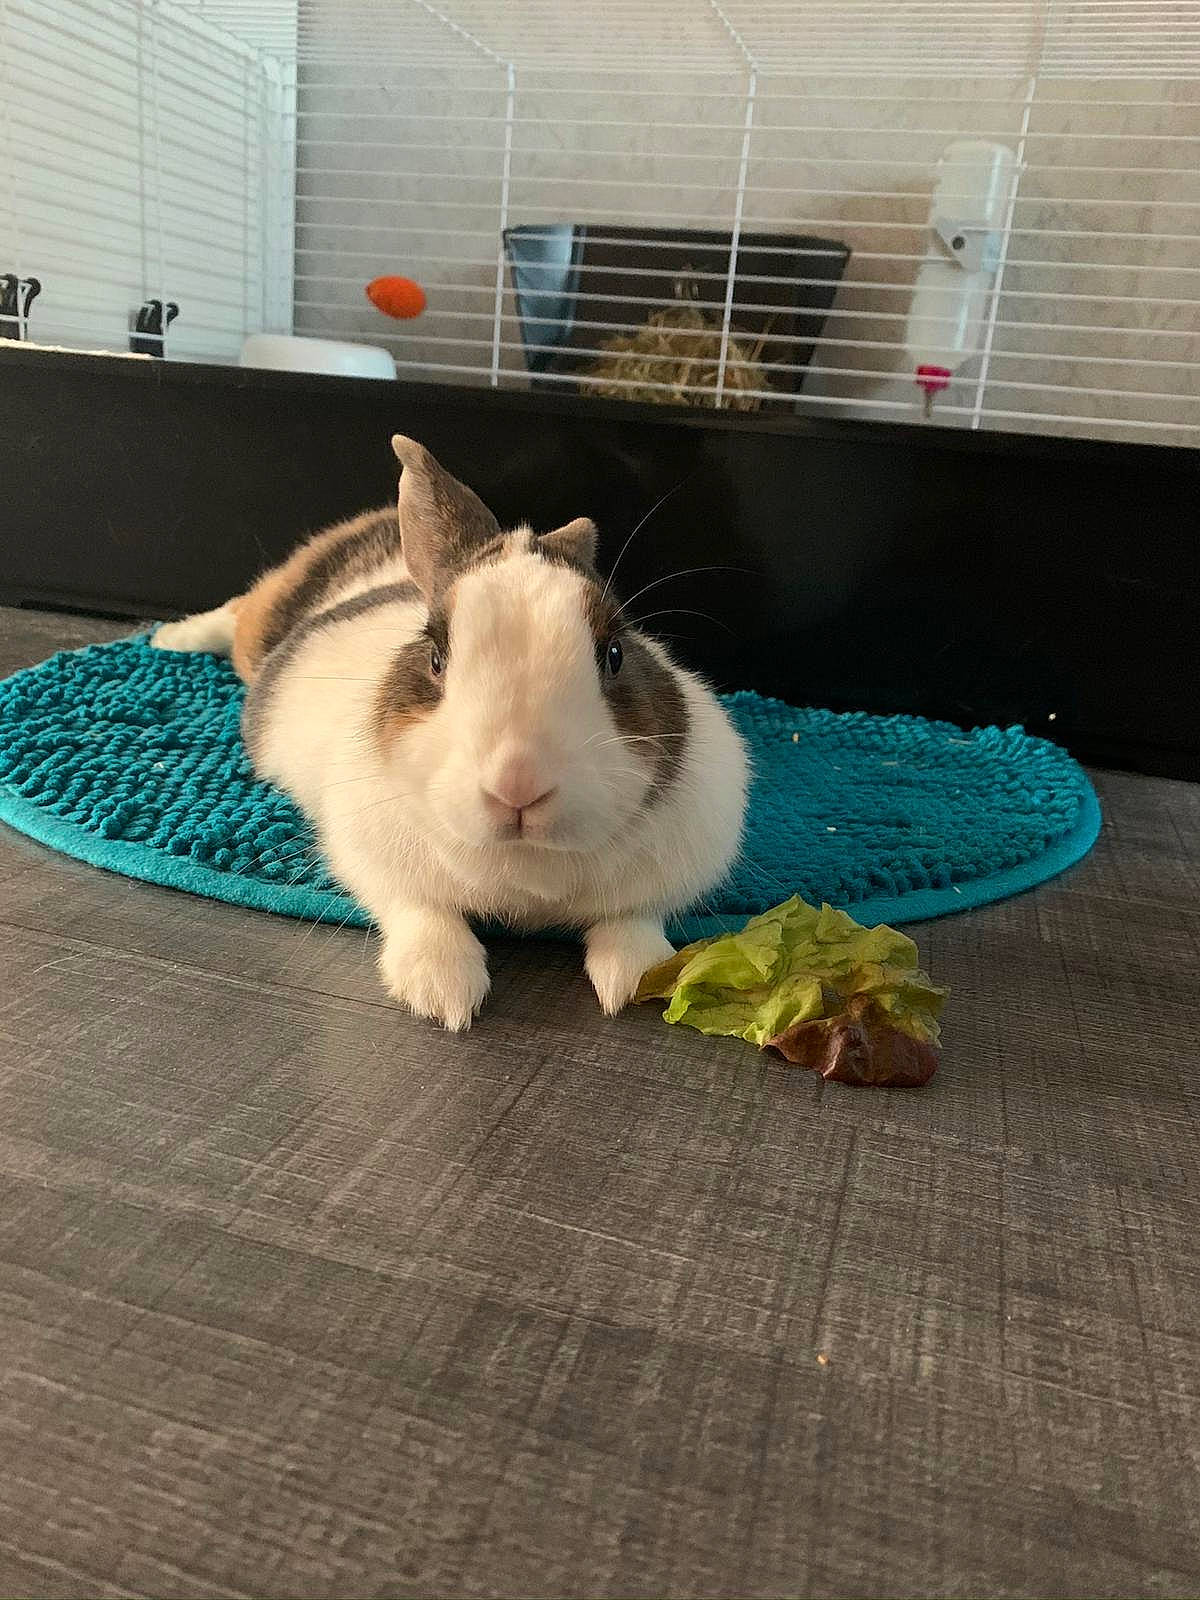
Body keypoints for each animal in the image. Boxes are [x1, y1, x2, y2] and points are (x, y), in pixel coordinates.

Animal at [153, 435, 748, 1030]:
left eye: (616, 654)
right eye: (436, 658)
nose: (518, 785)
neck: (526, 869)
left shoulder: (665, 876)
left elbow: (633, 920)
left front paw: (636, 976)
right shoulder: (376, 860)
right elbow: (423, 914)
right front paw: (443, 993)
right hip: (265, 618)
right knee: (234, 612)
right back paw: (167, 638)